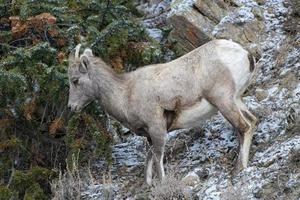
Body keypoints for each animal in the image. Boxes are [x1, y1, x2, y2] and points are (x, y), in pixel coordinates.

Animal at [68, 39, 258, 185]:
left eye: (75, 80)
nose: (71, 107)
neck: (125, 93)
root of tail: (244, 53)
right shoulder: (149, 136)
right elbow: (149, 159)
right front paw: (149, 184)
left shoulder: (157, 129)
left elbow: (158, 159)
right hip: (236, 100)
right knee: (252, 121)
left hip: (224, 101)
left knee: (244, 127)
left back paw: (239, 169)